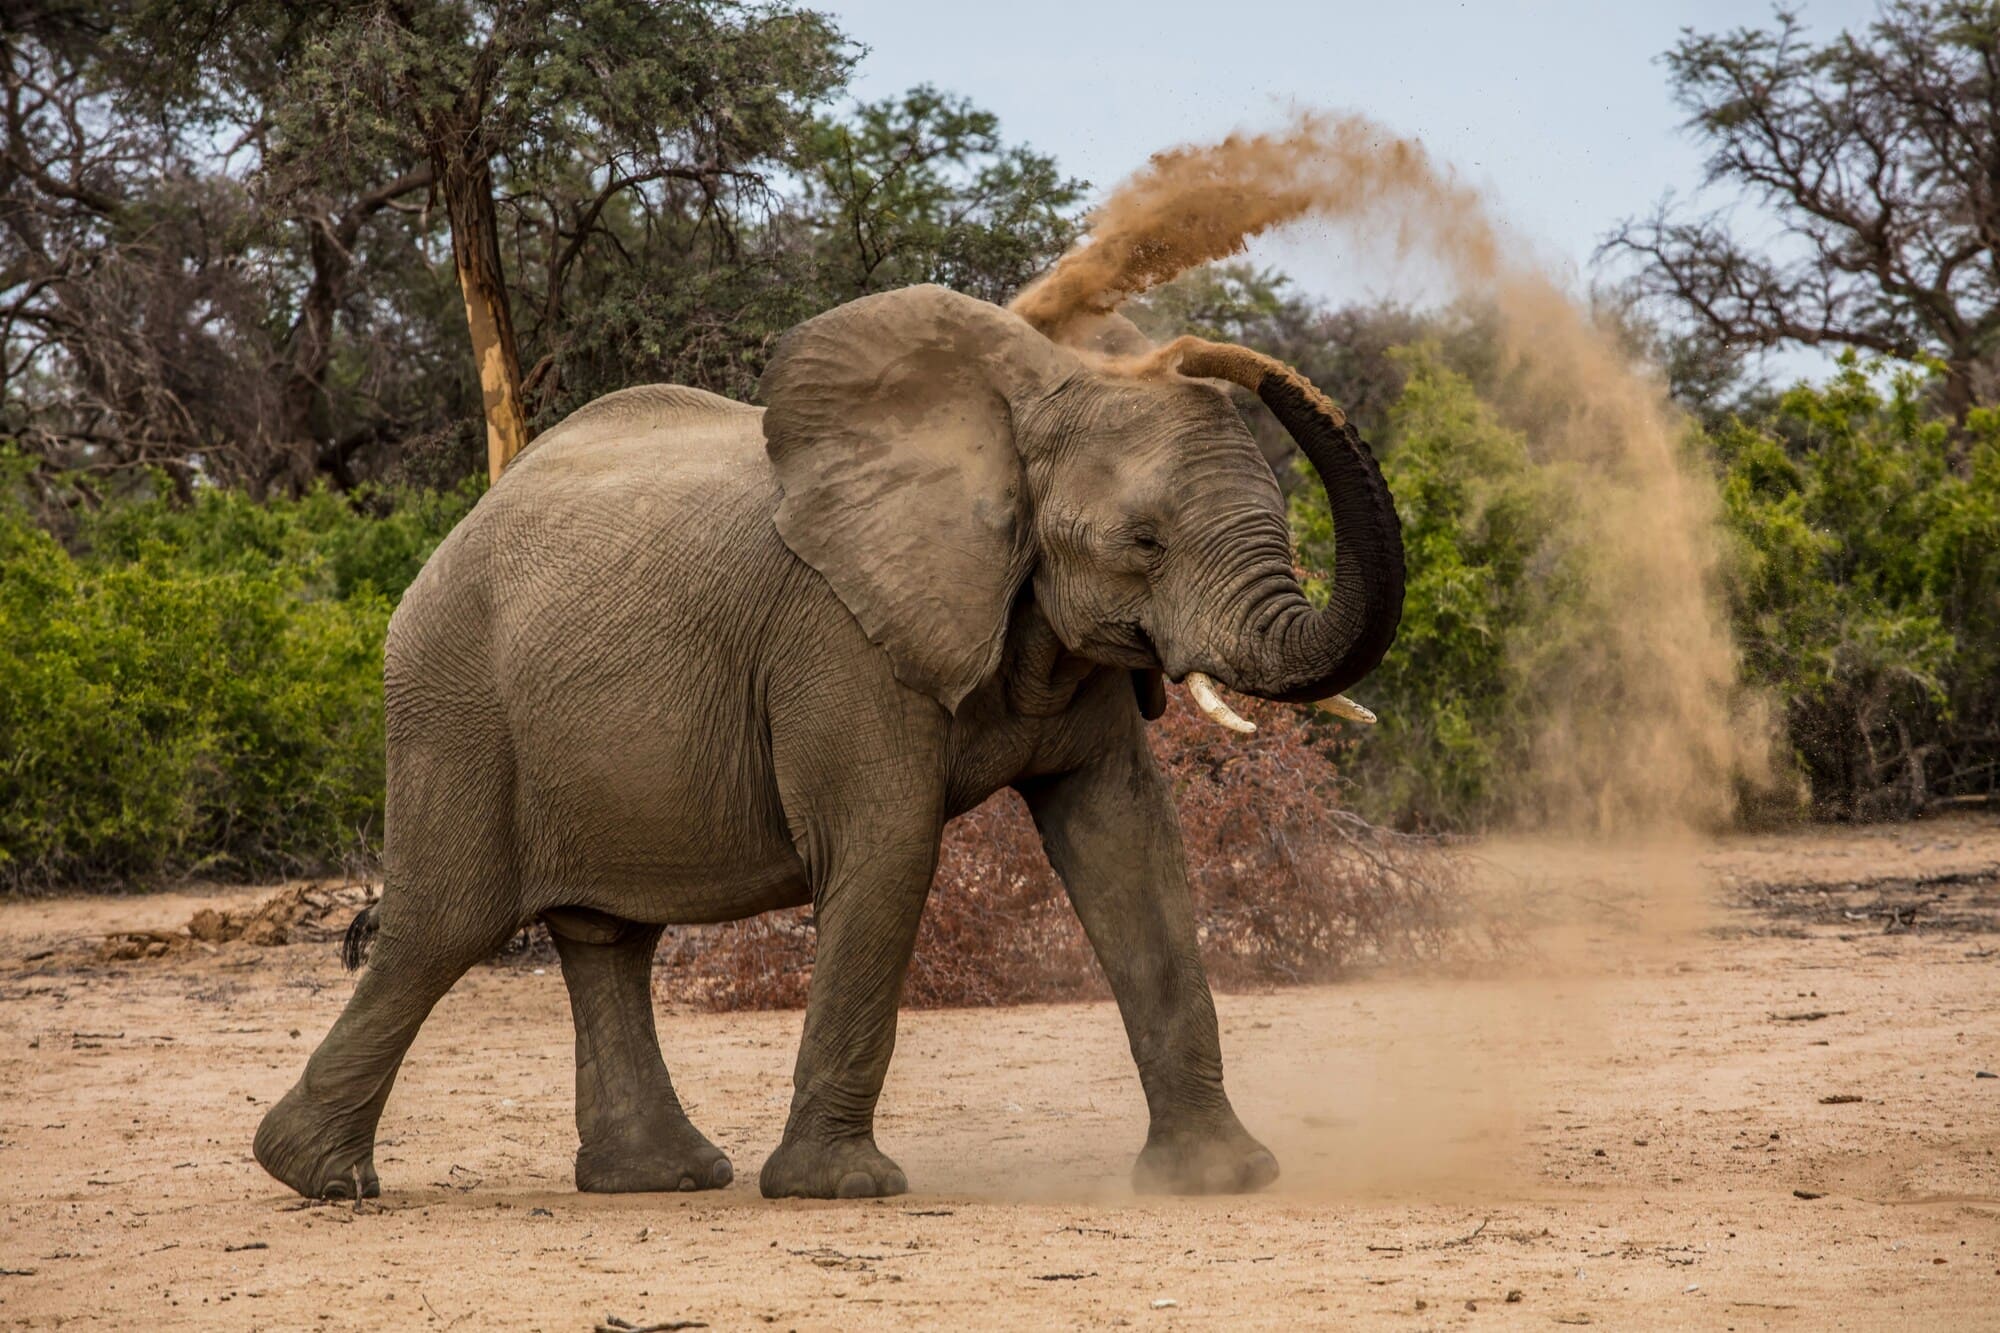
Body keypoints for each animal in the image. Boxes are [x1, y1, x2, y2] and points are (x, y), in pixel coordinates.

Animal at [250, 286, 1408, 1200]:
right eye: (1143, 542)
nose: (1200, 350)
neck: (1017, 404)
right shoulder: (838, 636)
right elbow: (888, 847)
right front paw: (842, 1189)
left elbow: (1129, 843)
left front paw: (1222, 1178)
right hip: (453, 702)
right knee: (442, 927)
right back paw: (317, 1177)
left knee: (605, 939)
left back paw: (661, 1177)